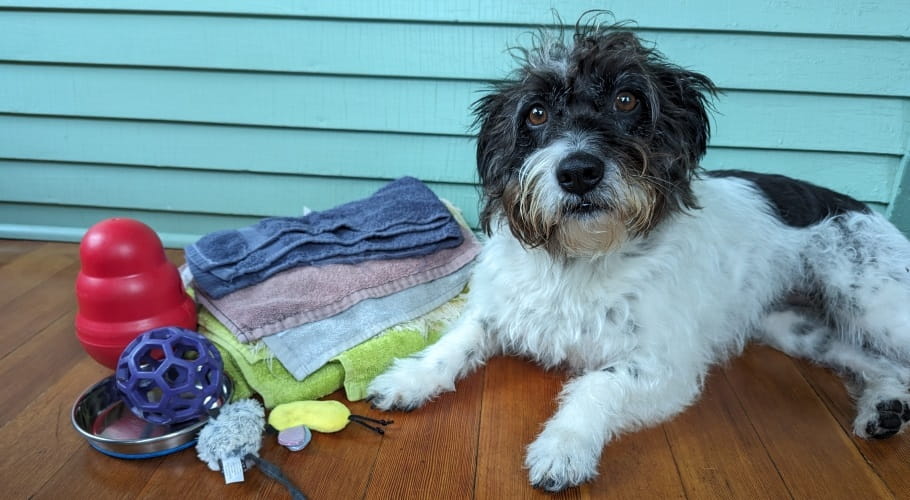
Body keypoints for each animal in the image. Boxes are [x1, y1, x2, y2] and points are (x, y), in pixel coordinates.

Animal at [366, 22, 910, 488]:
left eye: (626, 99)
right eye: (536, 113)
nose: (578, 172)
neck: (578, 261)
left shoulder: (664, 367)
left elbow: (597, 385)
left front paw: (563, 448)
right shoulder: (502, 309)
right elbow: (455, 342)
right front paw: (408, 378)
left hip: (877, 310)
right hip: (797, 328)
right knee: (883, 365)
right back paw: (884, 408)